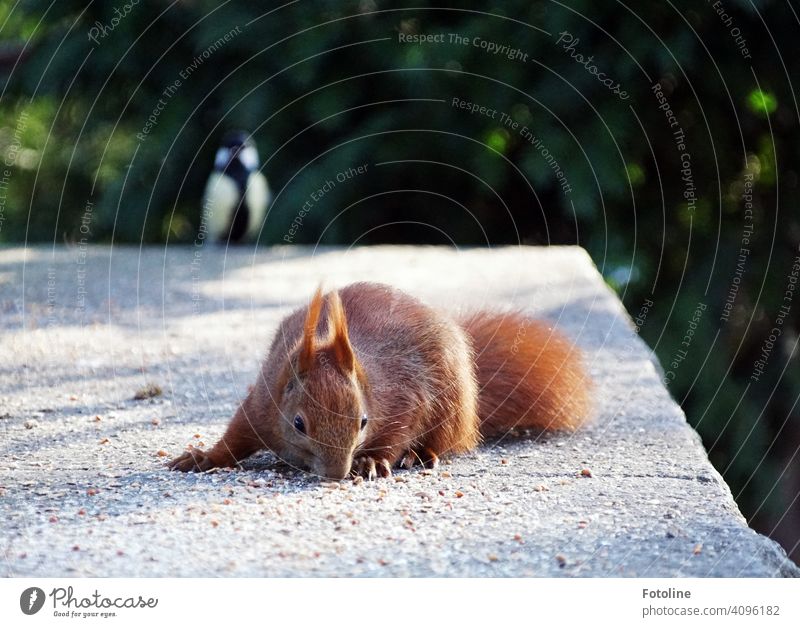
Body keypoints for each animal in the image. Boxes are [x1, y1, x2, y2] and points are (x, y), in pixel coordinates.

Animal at [169, 282, 592, 478]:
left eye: (363, 422)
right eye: (298, 423)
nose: (336, 475)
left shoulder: (401, 396)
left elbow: (398, 431)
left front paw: (372, 461)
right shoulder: (263, 402)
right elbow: (236, 435)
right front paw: (203, 456)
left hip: (452, 403)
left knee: (445, 439)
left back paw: (422, 455)